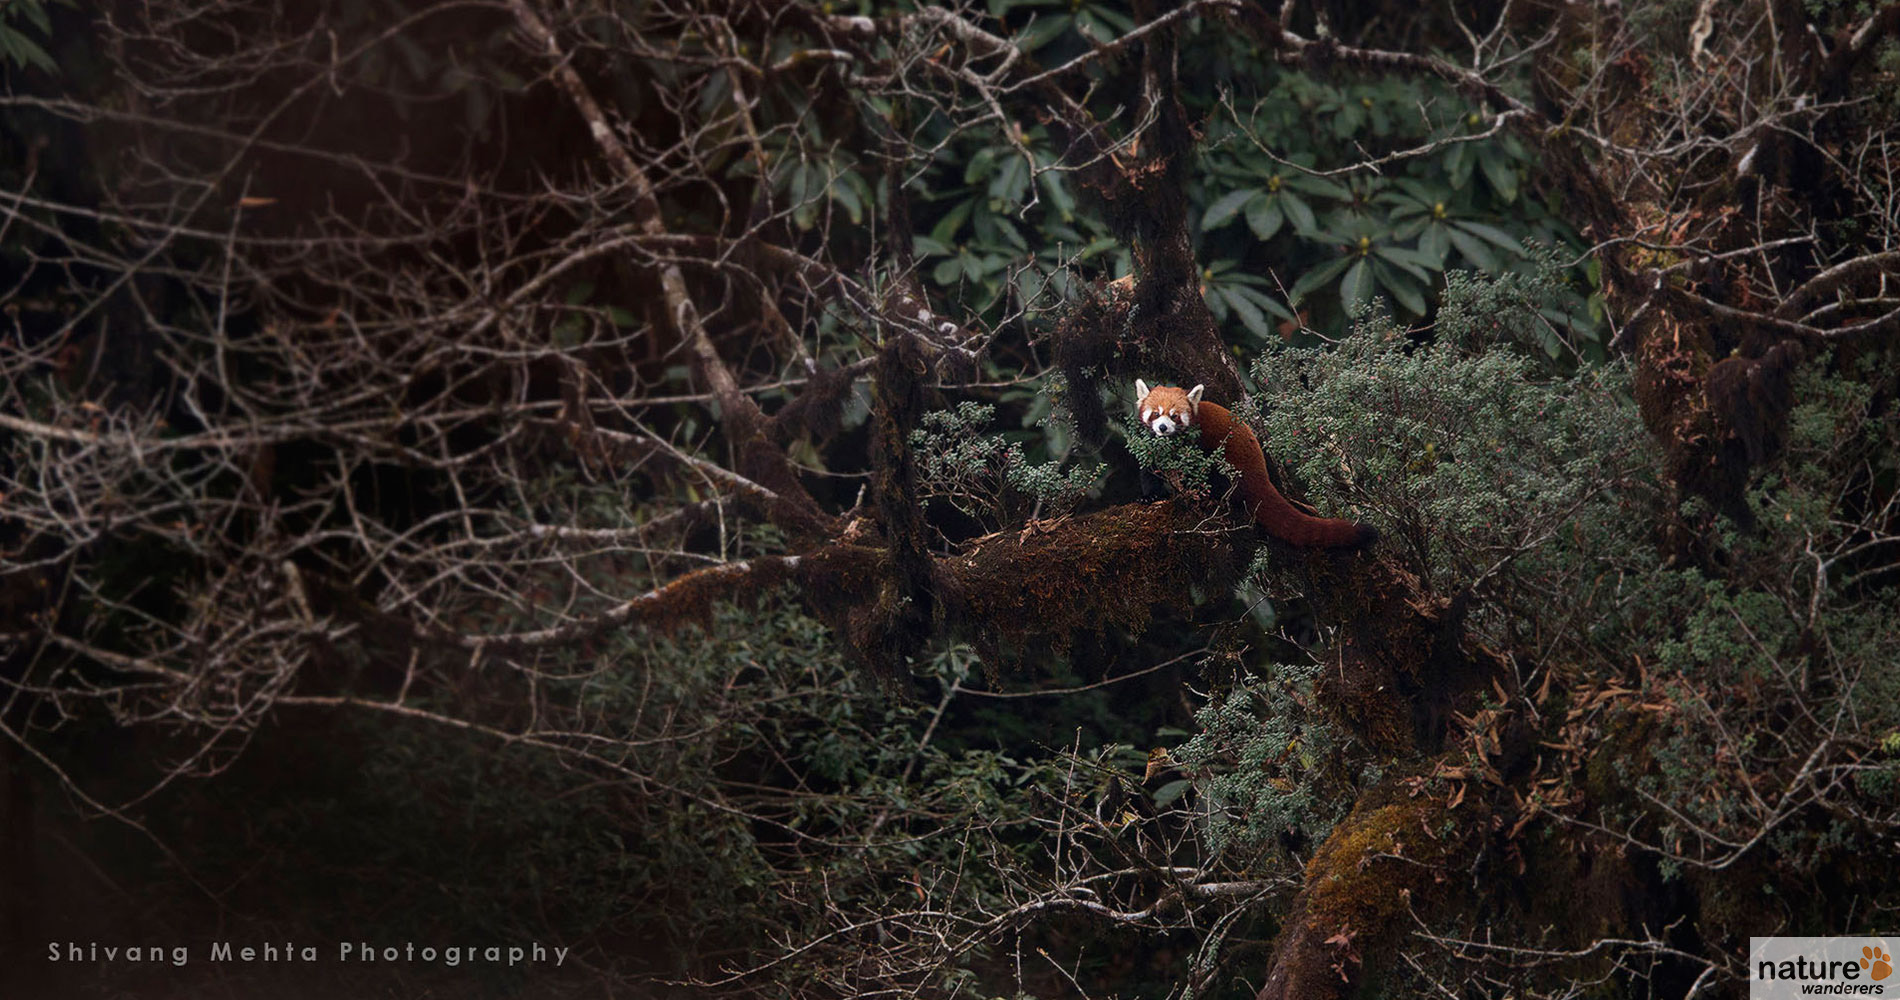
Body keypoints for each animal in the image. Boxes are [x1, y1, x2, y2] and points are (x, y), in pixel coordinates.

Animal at [1132, 382, 1375, 551]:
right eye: (1156, 413)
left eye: (1174, 416)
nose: (1163, 428)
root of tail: (1261, 474)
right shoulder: (1152, 445)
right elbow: (1148, 471)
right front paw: (1150, 496)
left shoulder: (1195, 444)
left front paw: (1184, 494)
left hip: (1231, 465)